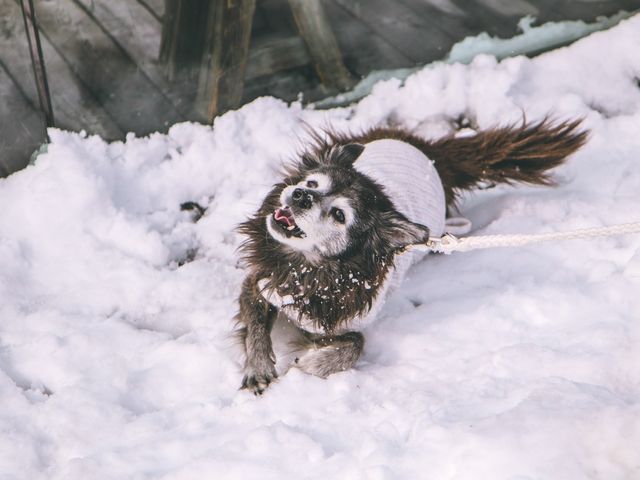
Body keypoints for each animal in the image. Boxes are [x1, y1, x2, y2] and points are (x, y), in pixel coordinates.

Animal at [235, 120, 584, 394]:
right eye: (312, 183)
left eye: (338, 215)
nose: (300, 195)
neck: (307, 268)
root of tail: (432, 153)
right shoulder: (259, 282)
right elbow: (255, 327)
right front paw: (259, 367)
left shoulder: (339, 324)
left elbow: (355, 346)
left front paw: (311, 364)